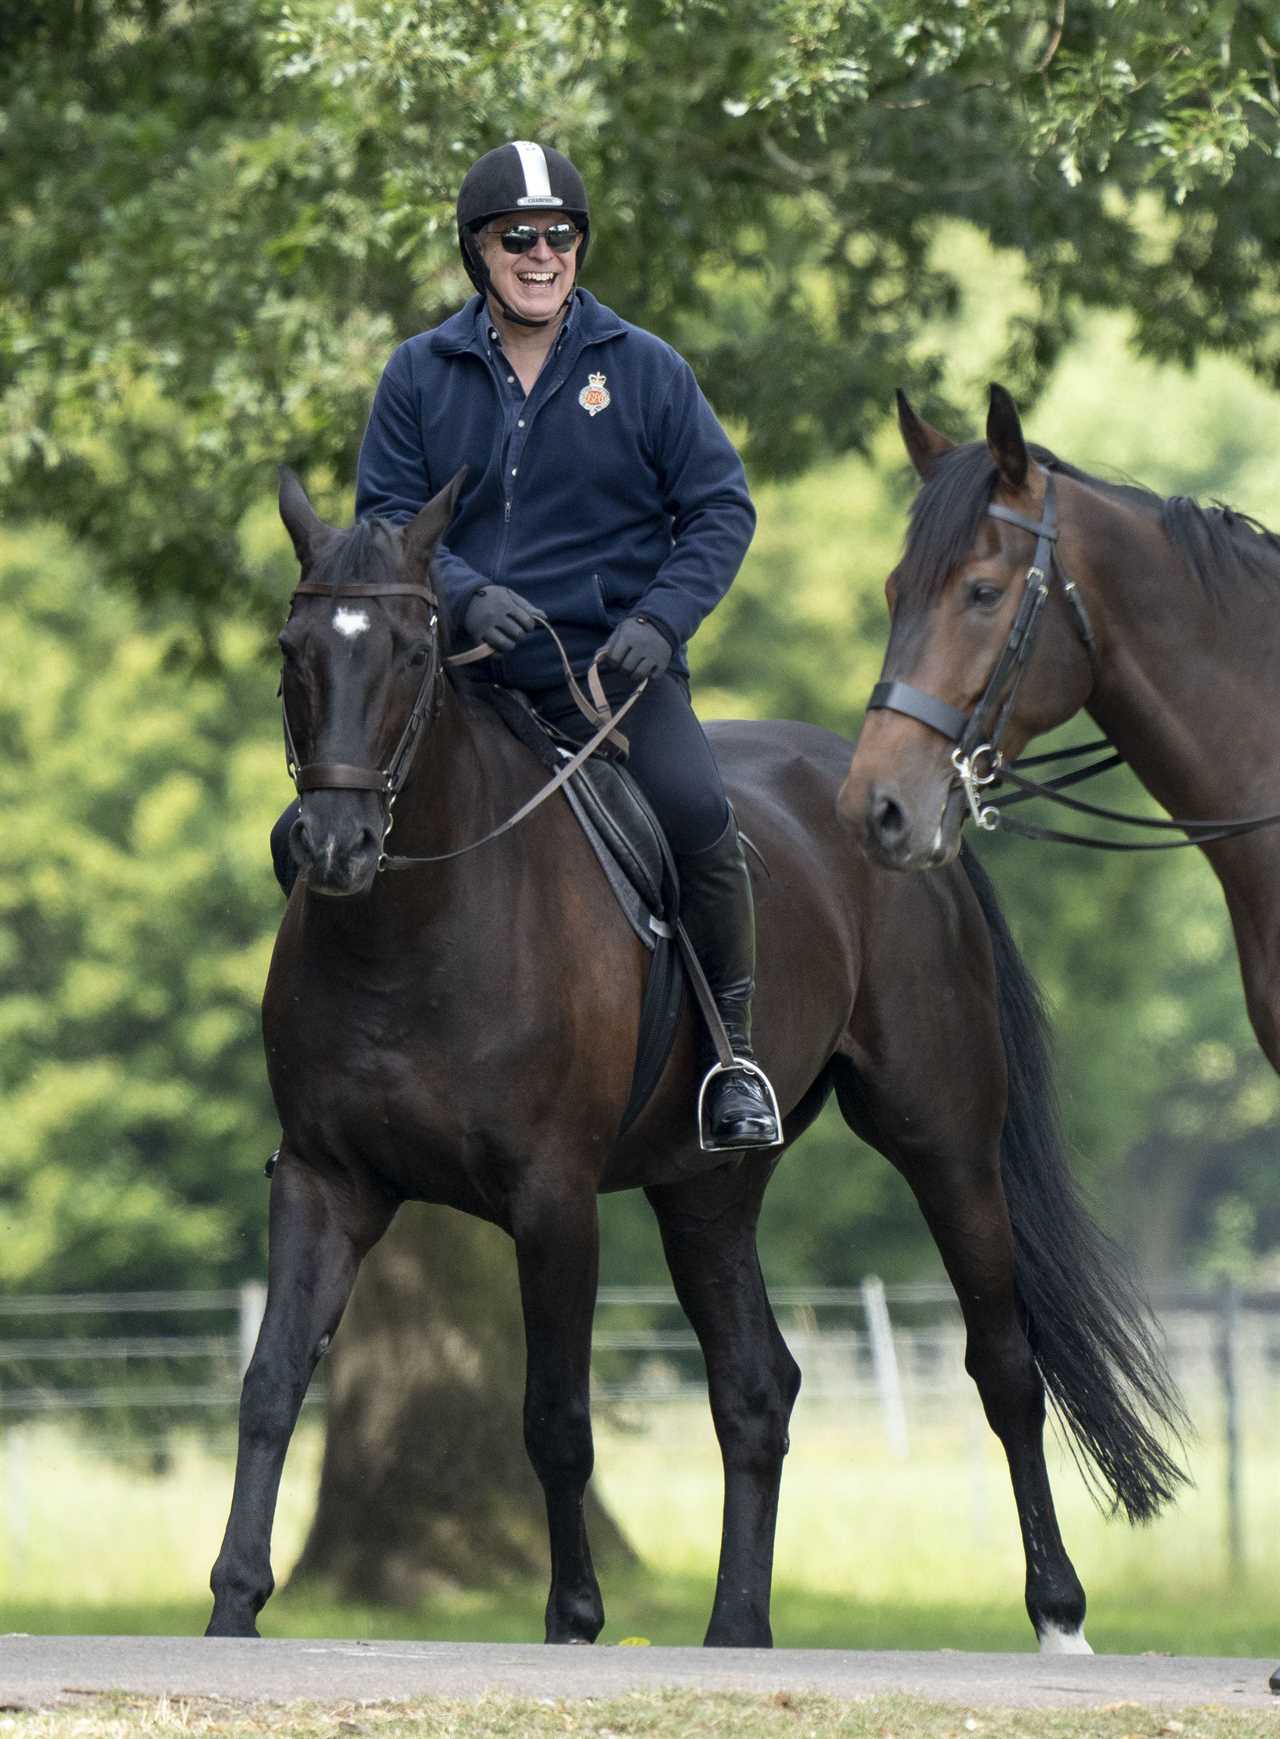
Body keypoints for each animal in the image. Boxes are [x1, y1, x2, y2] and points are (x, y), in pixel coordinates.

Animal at [207, 469, 1182, 1648]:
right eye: (291, 646)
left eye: (408, 651)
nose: (335, 845)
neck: (420, 921)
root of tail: (909, 820)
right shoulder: (326, 1178)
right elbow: (270, 1382)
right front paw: (233, 1604)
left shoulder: (552, 1197)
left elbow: (554, 1415)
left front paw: (575, 1616)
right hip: (706, 1190)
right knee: (756, 1387)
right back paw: (737, 1628)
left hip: (945, 1145)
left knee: (1003, 1366)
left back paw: (1056, 1612)